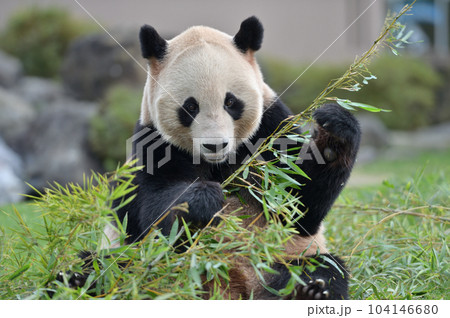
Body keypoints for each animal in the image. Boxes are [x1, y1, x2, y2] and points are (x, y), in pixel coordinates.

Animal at [97, 16, 358, 300]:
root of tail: (234, 284)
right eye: (190, 107)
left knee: (323, 267)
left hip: (284, 257)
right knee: (112, 267)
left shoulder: (271, 126)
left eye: (231, 102)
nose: (215, 145)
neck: (218, 164)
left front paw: (334, 134)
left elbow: (298, 206)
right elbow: (149, 209)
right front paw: (202, 199)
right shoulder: (153, 141)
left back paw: (310, 290)